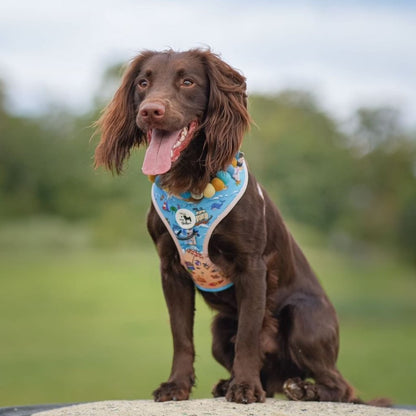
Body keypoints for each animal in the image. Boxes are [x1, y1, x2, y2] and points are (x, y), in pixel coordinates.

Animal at [94, 49, 387, 405]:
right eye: (143, 83)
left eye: (187, 81)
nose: (151, 110)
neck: (191, 185)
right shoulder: (171, 269)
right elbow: (181, 336)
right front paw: (176, 385)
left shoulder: (252, 266)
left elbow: (249, 334)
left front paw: (245, 388)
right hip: (220, 330)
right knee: (269, 376)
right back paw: (234, 383)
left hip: (304, 319)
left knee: (340, 386)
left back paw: (303, 389)